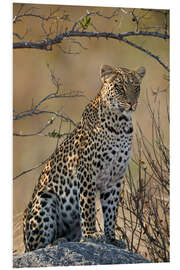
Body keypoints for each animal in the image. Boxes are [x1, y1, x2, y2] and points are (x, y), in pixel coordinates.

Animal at [23, 64, 146, 252]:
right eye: (119, 87)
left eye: (136, 87)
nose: (132, 103)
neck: (121, 124)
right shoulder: (87, 172)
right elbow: (88, 206)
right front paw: (91, 235)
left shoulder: (115, 178)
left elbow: (111, 211)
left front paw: (111, 238)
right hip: (45, 197)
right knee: (36, 246)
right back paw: (56, 242)